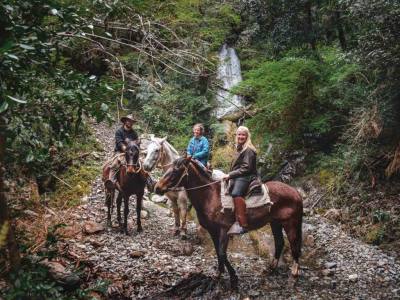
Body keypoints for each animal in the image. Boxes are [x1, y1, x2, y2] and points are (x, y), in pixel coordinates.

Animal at [155, 158, 302, 290]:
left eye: (175, 171)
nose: (157, 188)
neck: (210, 196)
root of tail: (295, 192)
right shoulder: (213, 231)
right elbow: (218, 252)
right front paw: (219, 273)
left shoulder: (224, 230)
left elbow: (221, 253)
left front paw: (233, 278)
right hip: (275, 223)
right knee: (279, 243)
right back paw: (271, 268)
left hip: (290, 223)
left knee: (294, 245)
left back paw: (294, 274)